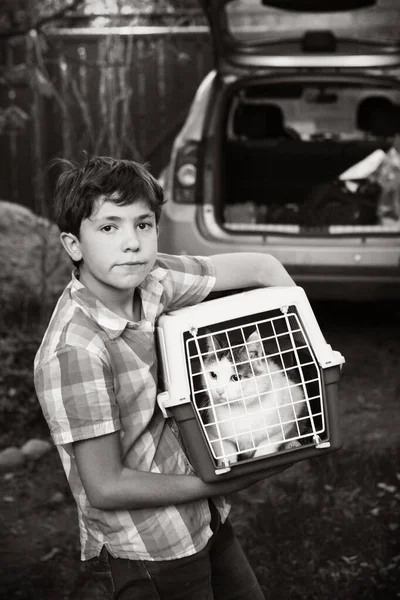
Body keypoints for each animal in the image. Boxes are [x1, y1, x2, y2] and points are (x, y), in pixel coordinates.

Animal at [202, 328, 304, 464]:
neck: (241, 409)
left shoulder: (289, 414)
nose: (219, 391)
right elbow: (227, 453)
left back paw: (292, 443)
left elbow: (267, 446)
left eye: (236, 377)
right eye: (213, 375)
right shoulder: (212, 434)